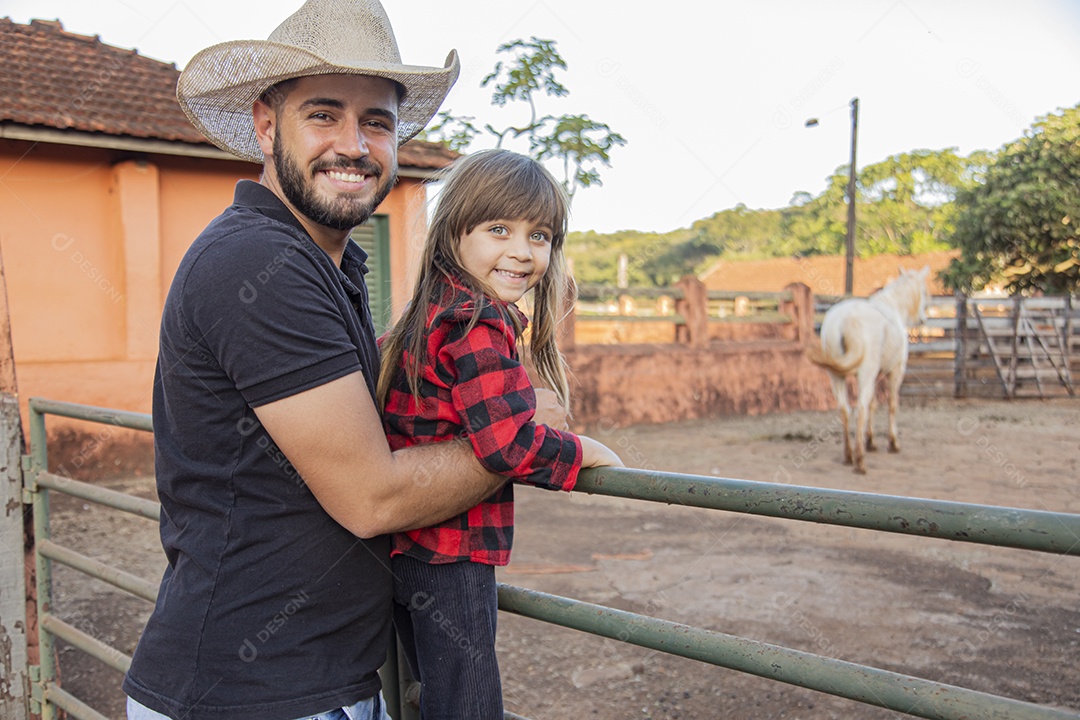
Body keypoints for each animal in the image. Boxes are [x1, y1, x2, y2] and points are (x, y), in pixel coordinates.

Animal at [812, 267, 928, 474]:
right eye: (924, 291)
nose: (923, 319)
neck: (893, 306)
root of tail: (847, 319)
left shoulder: (876, 375)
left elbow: (874, 403)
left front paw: (871, 441)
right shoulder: (895, 371)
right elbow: (891, 404)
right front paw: (893, 443)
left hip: (837, 376)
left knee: (845, 409)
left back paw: (848, 455)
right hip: (865, 374)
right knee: (861, 409)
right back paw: (859, 461)